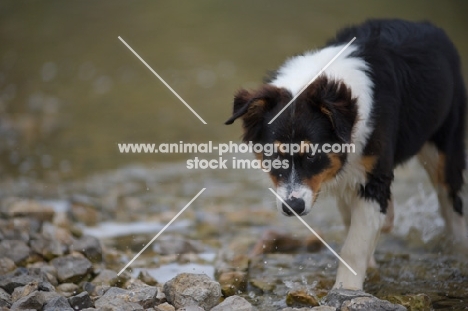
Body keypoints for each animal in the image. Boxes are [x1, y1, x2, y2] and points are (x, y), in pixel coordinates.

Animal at [225, 19, 466, 292]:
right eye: (274, 154)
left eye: (312, 155)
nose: (292, 207)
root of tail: (429, 26)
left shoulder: (373, 179)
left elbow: (355, 245)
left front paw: (346, 289)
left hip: (445, 151)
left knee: (452, 205)